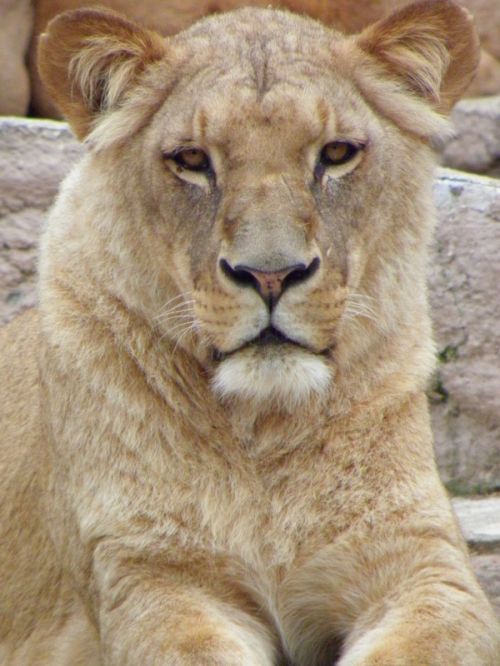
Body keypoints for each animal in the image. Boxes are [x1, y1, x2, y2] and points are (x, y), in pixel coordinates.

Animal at [0, 1, 499, 664]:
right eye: (191, 160)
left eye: (337, 153)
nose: (270, 275)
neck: (264, 431)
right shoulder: (147, 575)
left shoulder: (425, 565)